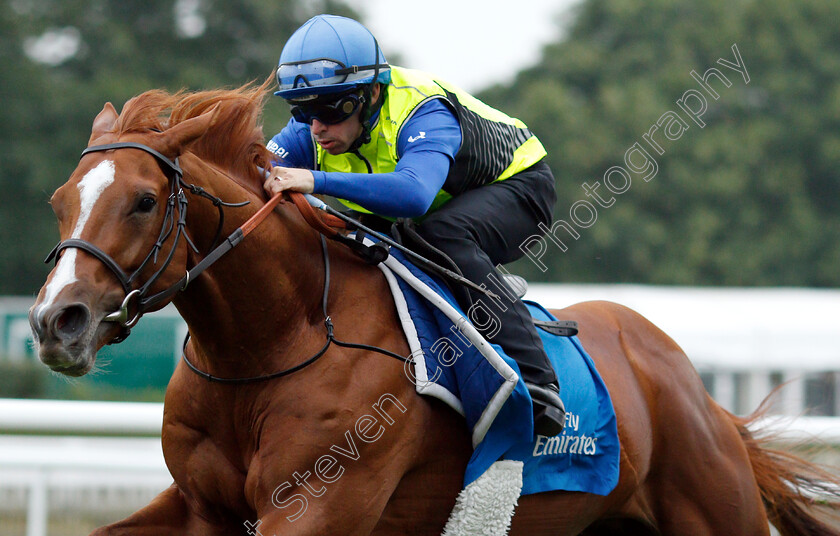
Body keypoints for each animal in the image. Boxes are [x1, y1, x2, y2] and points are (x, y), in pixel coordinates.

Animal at [29, 81, 836, 532]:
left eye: (142, 201)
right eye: (59, 200)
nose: (54, 322)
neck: (270, 344)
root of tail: (699, 395)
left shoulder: (316, 505)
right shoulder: (203, 506)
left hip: (713, 508)